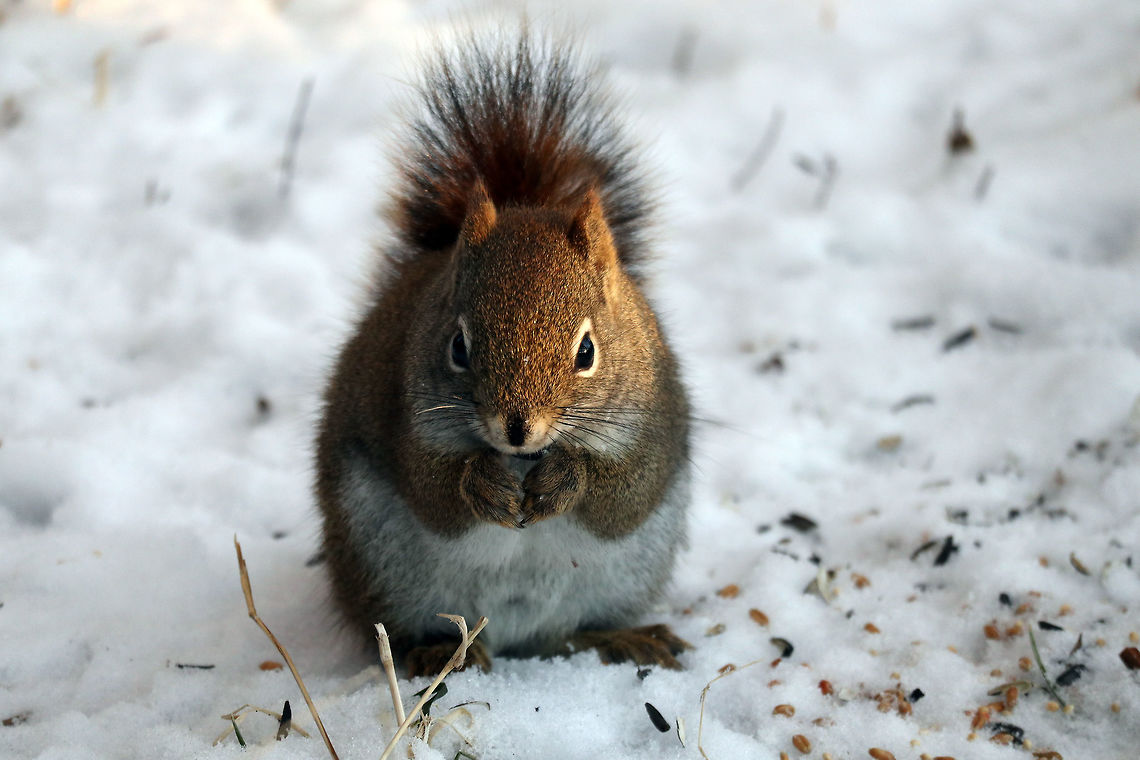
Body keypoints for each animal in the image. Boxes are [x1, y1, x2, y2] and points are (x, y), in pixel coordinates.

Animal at [315, 32, 691, 677]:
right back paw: (439, 652)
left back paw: (621, 639)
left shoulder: (655, 428)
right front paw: (483, 483)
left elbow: (623, 495)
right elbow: (431, 491)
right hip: (380, 564)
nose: (516, 429)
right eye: (457, 346)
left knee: (570, 634)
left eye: (587, 351)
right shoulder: (403, 413)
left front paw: (567, 478)